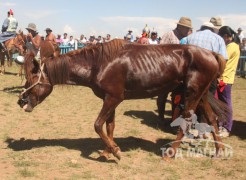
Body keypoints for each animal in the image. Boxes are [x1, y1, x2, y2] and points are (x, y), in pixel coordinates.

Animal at [18, 39, 228, 160]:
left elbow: (98, 125)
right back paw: (218, 152)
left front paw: (115, 151)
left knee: (186, 121)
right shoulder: (110, 99)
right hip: (200, 95)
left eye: (31, 80)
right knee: (212, 119)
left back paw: (171, 153)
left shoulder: (113, 98)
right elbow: (110, 126)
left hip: (191, 94)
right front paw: (108, 150)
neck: (98, 64)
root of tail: (211, 54)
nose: (21, 101)